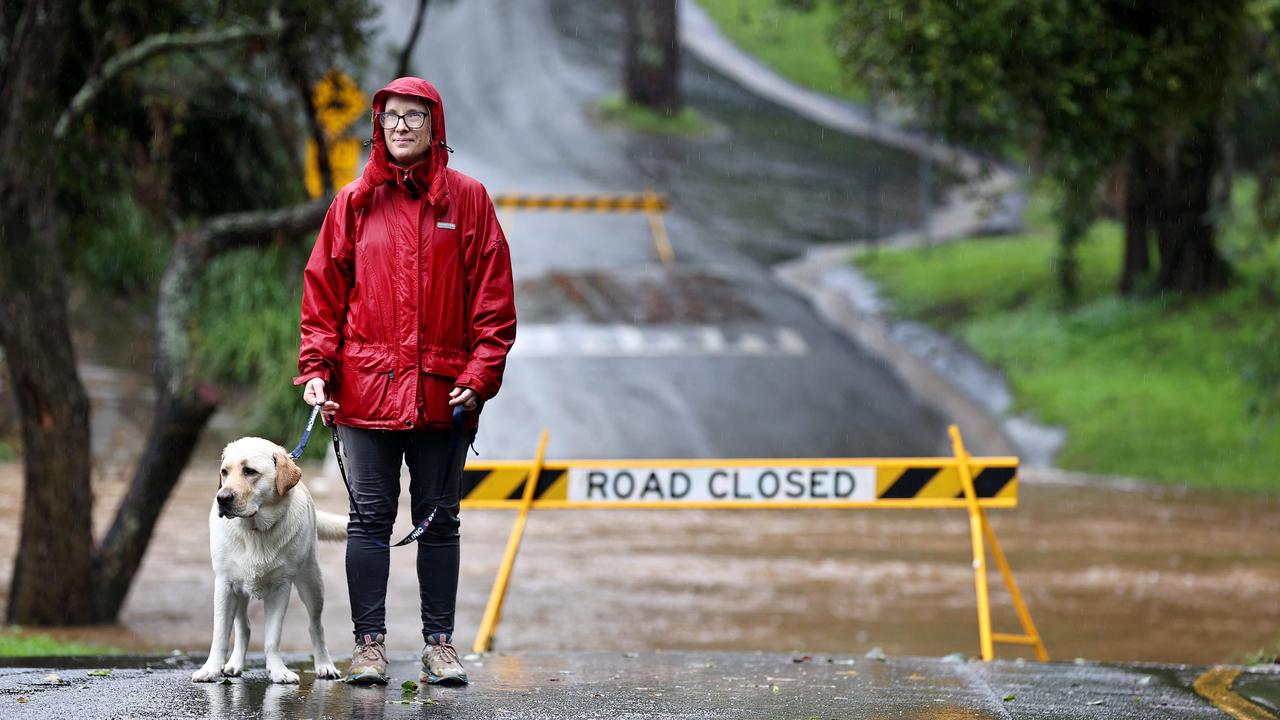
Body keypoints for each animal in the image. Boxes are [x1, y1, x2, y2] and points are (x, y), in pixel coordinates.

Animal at [188, 435, 348, 681]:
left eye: (250, 471)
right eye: (224, 472)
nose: (222, 498)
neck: (255, 531)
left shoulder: (281, 588)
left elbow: (273, 638)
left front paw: (278, 671)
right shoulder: (225, 584)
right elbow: (220, 635)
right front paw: (211, 669)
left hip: (312, 583)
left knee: (316, 626)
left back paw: (325, 665)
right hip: (239, 592)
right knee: (243, 627)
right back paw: (234, 665)